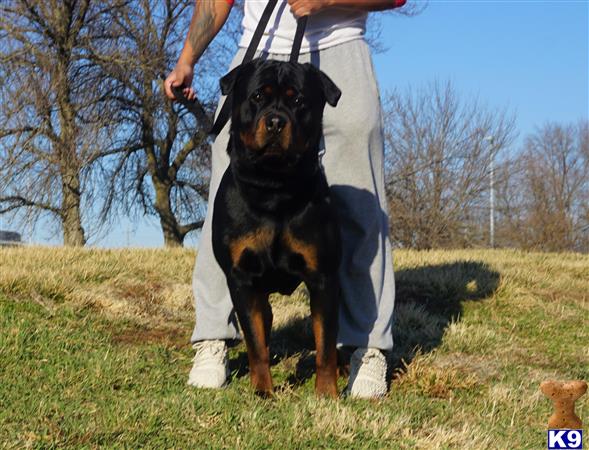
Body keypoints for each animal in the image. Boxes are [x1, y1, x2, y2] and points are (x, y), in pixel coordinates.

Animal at [210, 59, 340, 398]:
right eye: (257, 96)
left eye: (298, 101)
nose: (276, 122)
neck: (274, 189)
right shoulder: (242, 280)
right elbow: (256, 344)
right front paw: (263, 391)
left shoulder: (323, 277)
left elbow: (325, 344)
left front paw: (326, 393)